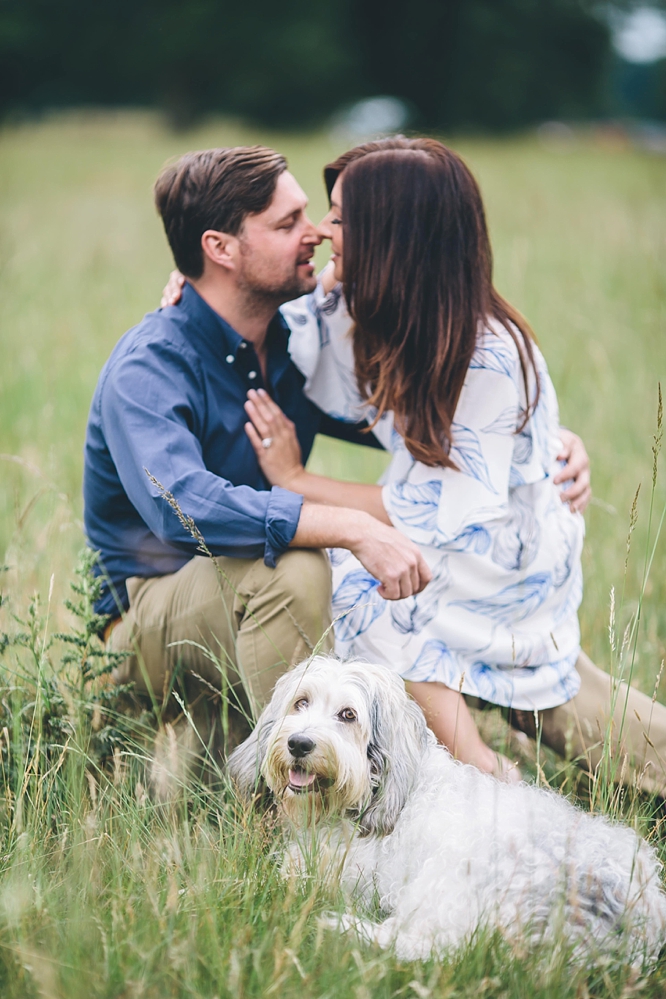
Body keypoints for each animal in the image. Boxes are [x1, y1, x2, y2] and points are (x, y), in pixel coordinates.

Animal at [227, 656, 664, 968]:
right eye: (301, 702)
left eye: (348, 715)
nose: (299, 743)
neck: (383, 789)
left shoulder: (340, 874)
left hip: (448, 883)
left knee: (431, 947)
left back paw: (344, 930)